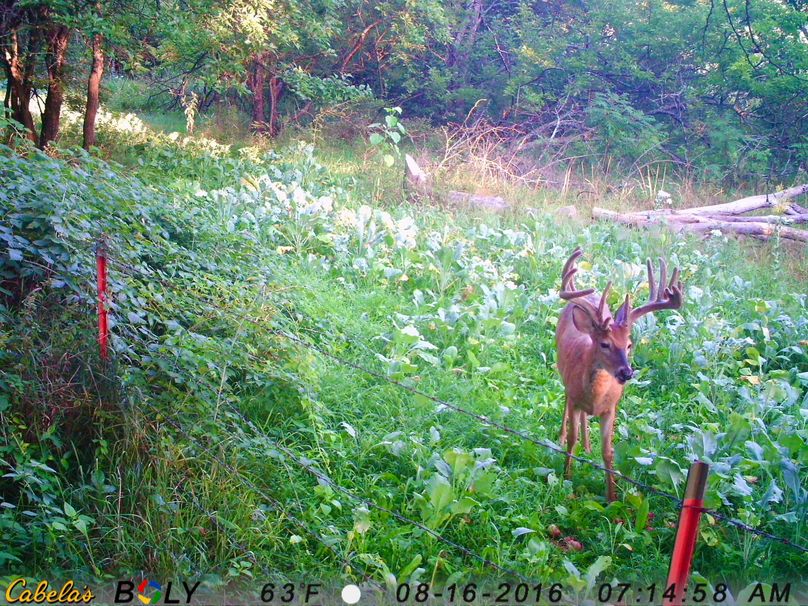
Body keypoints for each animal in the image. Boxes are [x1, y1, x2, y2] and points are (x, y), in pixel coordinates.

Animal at [556, 247, 683, 501]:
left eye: (629, 344)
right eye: (605, 344)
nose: (627, 372)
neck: (595, 396)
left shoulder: (611, 408)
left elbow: (608, 452)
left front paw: (612, 496)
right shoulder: (574, 397)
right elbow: (572, 441)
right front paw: (567, 477)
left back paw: (588, 446)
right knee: (566, 404)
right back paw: (562, 436)